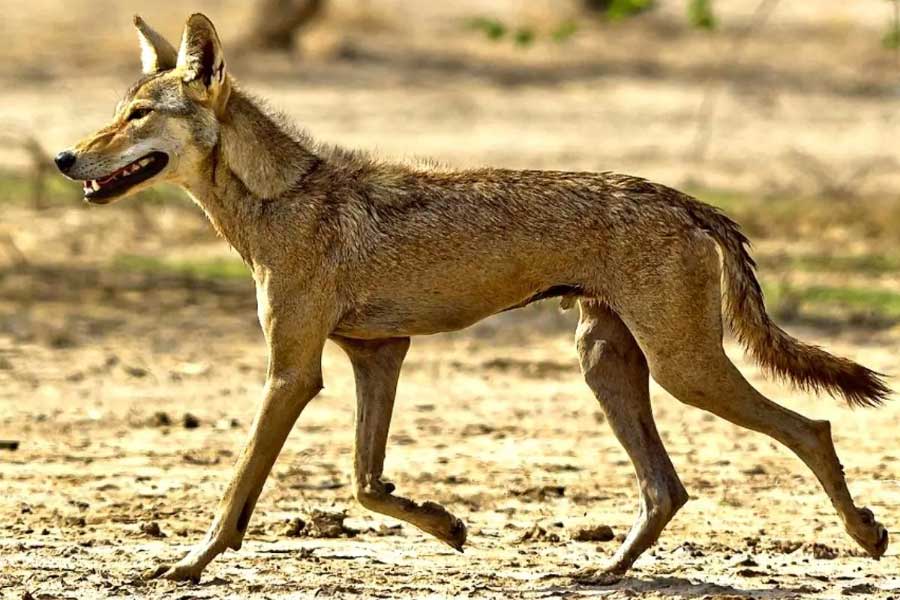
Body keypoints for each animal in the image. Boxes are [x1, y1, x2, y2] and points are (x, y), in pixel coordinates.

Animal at [55, 13, 890, 585]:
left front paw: (189, 564)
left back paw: (867, 535)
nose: (64, 157)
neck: (277, 198)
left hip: (683, 369)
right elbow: (365, 484)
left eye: (137, 116)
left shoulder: (293, 373)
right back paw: (604, 573)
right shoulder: (378, 354)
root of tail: (682, 198)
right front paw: (447, 525)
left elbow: (238, 490)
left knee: (809, 428)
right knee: (668, 487)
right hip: (607, 364)